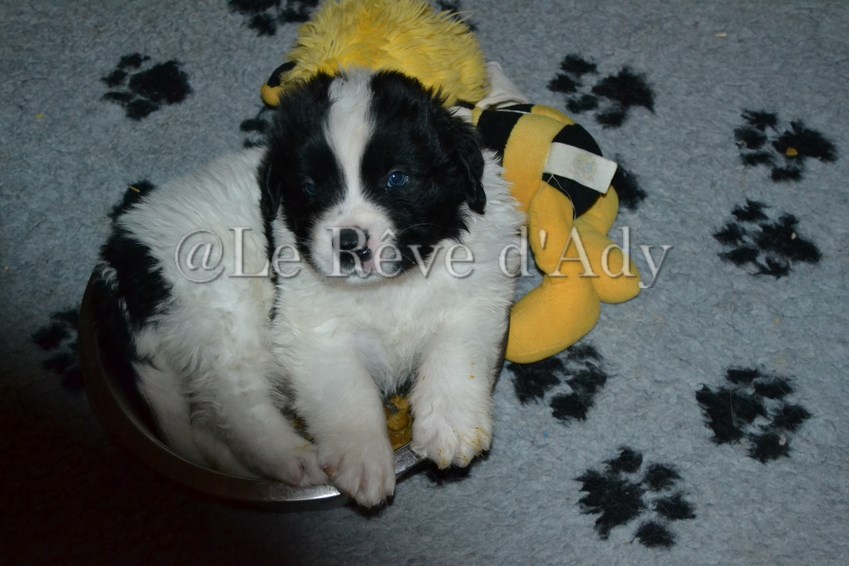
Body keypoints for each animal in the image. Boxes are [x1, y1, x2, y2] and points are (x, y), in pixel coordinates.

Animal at [97, 70, 522, 507]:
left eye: (397, 178)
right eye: (310, 187)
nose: (350, 243)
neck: (389, 287)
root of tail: (125, 251)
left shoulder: (475, 298)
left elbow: (455, 353)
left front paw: (450, 429)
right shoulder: (315, 332)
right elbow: (348, 392)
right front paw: (363, 461)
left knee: (206, 421)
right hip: (219, 312)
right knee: (236, 400)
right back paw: (292, 459)